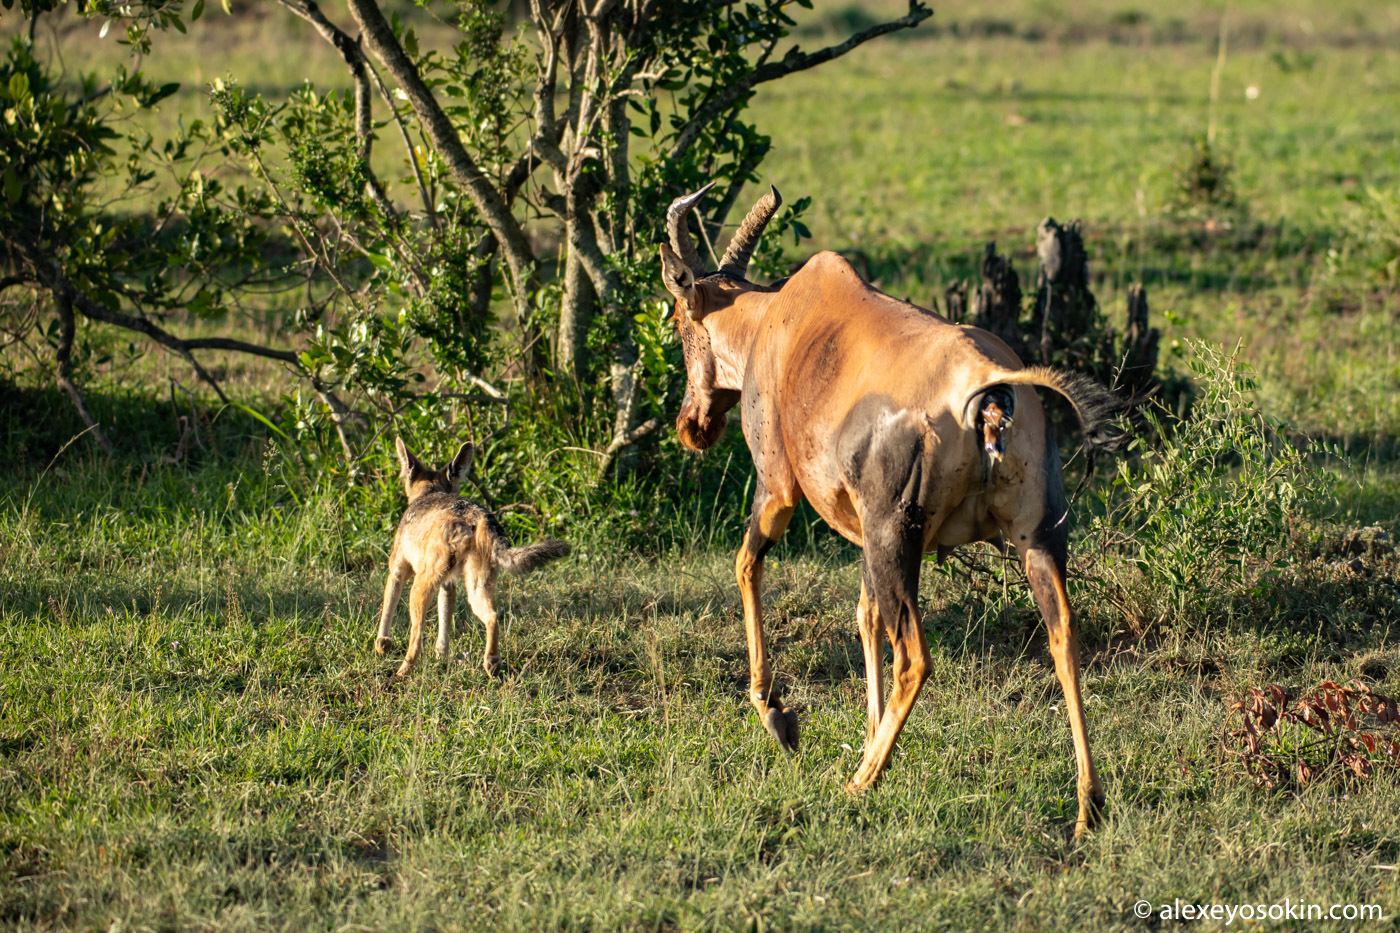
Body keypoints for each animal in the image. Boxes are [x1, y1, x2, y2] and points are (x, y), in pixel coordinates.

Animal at [658, 182, 1125, 834]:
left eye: (680, 322)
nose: (691, 427)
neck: (785, 318)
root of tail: (989, 388)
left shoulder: (779, 491)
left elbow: (747, 566)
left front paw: (778, 716)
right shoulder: (862, 529)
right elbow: (866, 615)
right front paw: (860, 732)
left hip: (895, 534)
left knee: (916, 658)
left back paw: (859, 783)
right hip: (1034, 538)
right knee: (1063, 636)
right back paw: (1087, 807)